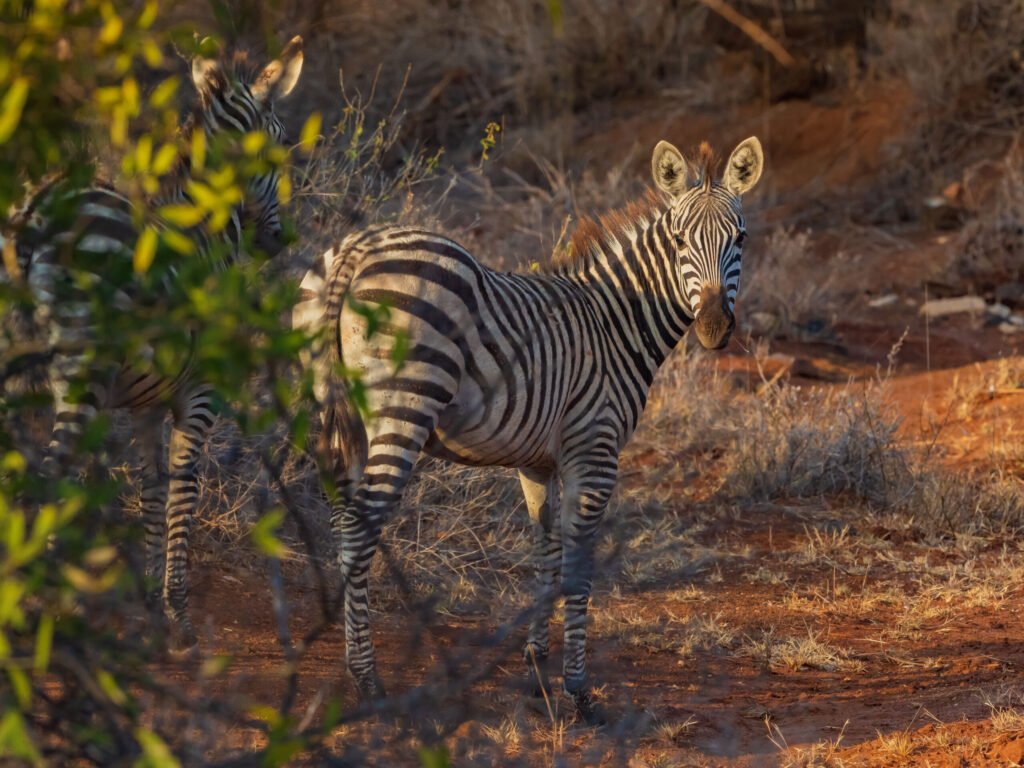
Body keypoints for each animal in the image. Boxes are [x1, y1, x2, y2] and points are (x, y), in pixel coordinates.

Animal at [1, 36, 304, 652]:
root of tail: (34, 213)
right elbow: (183, 491)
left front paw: (147, 608)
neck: (204, 227)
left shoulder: (144, 406)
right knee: (49, 476)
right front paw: (179, 617)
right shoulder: (201, 396)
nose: (278, 240)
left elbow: (150, 491)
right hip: (80, 371)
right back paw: (44, 611)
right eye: (280, 148)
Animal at [294, 136, 763, 724]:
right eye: (679, 240)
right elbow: (578, 568)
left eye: (740, 238)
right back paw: (368, 682)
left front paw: (536, 662)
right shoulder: (595, 449)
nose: (715, 328)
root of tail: (356, 249)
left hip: (334, 414)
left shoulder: (537, 461)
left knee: (341, 524)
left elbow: (545, 550)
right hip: (403, 408)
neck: (615, 322)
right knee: (360, 531)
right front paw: (578, 691)